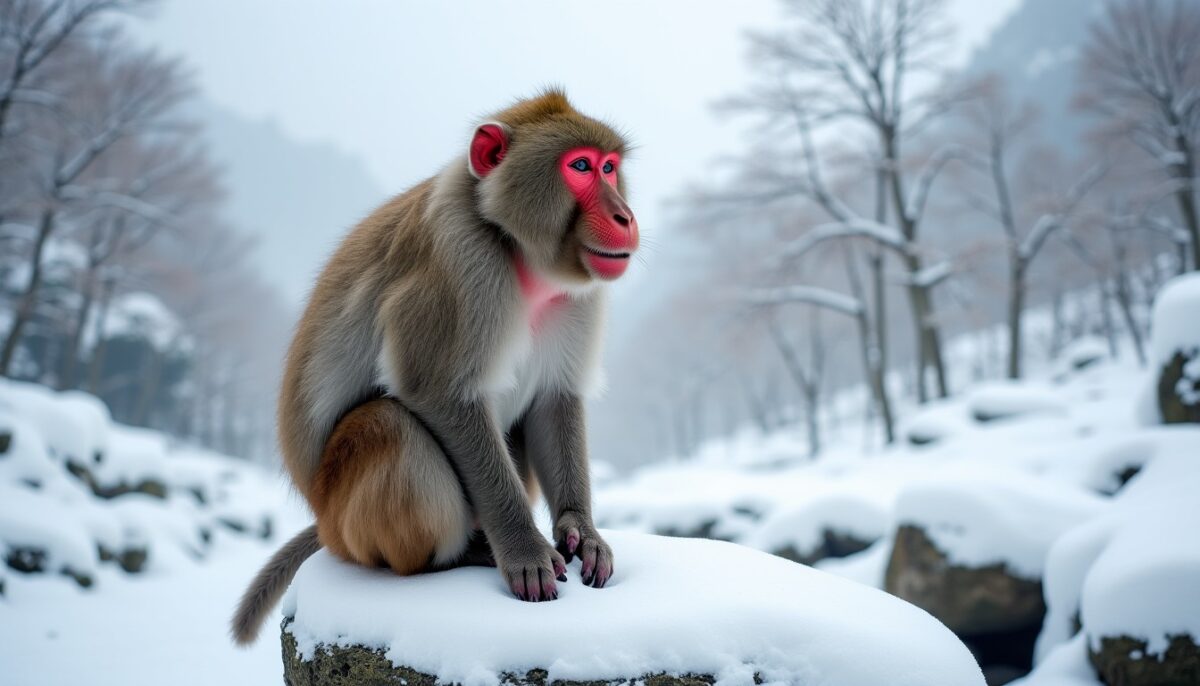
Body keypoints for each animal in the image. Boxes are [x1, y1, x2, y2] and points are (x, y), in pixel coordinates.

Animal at [231, 89, 638, 645]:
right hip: (345, 518)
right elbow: (441, 394)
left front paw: (582, 531)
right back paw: (461, 554)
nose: (625, 216)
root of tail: (322, 520)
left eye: (610, 168)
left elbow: (554, 400)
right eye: (580, 166)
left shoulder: (580, 293)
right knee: (389, 426)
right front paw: (524, 549)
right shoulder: (461, 267)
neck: (517, 252)